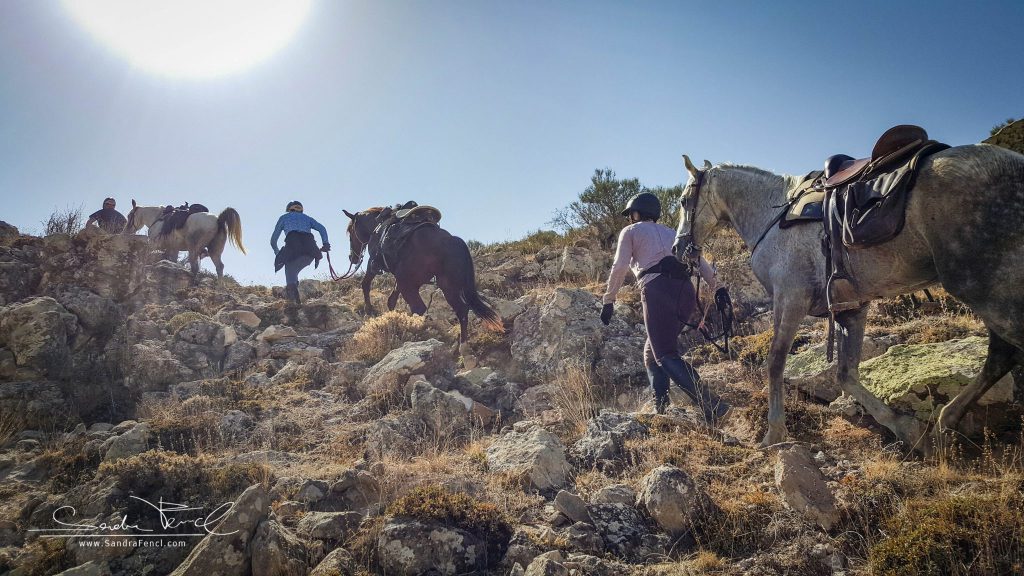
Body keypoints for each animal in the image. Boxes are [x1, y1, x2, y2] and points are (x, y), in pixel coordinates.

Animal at [344, 207, 503, 344]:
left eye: (351, 234)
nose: (352, 257)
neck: (377, 226)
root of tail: (452, 241)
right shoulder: (399, 279)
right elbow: (391, 300)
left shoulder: (374, 266)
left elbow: (365, 284)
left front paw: (369, 310)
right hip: (446, 285)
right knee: (461, 309)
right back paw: (461, 344)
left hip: (412, 284)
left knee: (419, 308)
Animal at [671, 144, 1024, 453]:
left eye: (685, 200)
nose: (677, 248)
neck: (773, 216)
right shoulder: (850, 308)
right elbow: (846, 375)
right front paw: (908, 430)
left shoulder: (791, 298)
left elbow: (775, 362)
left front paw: (774, 433)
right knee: (1000, 357)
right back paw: (942, 424)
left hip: (983, 287)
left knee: (1004, 351)